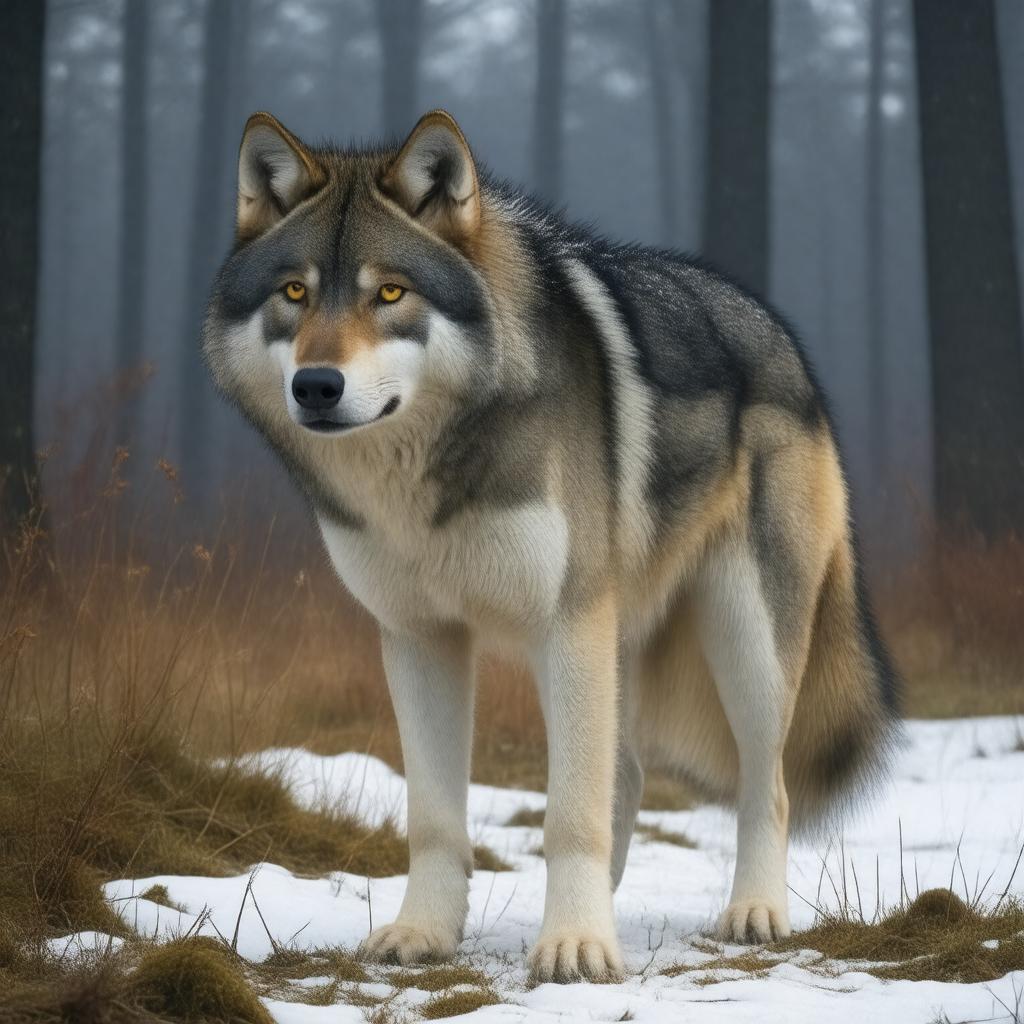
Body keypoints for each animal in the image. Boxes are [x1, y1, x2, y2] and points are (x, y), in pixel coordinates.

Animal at [203, 109, 900, 983]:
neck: (428, 477)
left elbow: (570, 812)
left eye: (390, 292)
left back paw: (754, 913)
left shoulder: (567, 623)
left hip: (743, 642)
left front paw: (575, 947)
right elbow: (436, 818)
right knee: (626, 775)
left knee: (762, 786)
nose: (317, 387)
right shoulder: (419, 638)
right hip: (626, 644)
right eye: (294, 293)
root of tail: (780, 332)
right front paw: (425, 933)